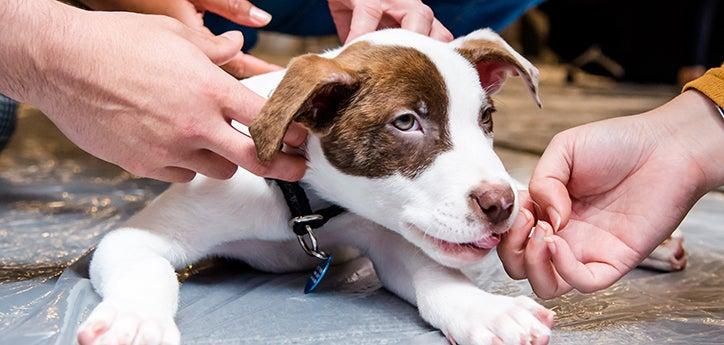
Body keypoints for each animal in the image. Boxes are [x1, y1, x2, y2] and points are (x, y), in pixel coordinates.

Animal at [79, 28, 552, 344]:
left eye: (485, 118)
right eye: (405, 122)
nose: (500, 204)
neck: (303, 204)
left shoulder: (386, 238)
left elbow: (434, 275)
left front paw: (487, 312)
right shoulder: (133, 238)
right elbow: (149, 271)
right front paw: (135, 323)